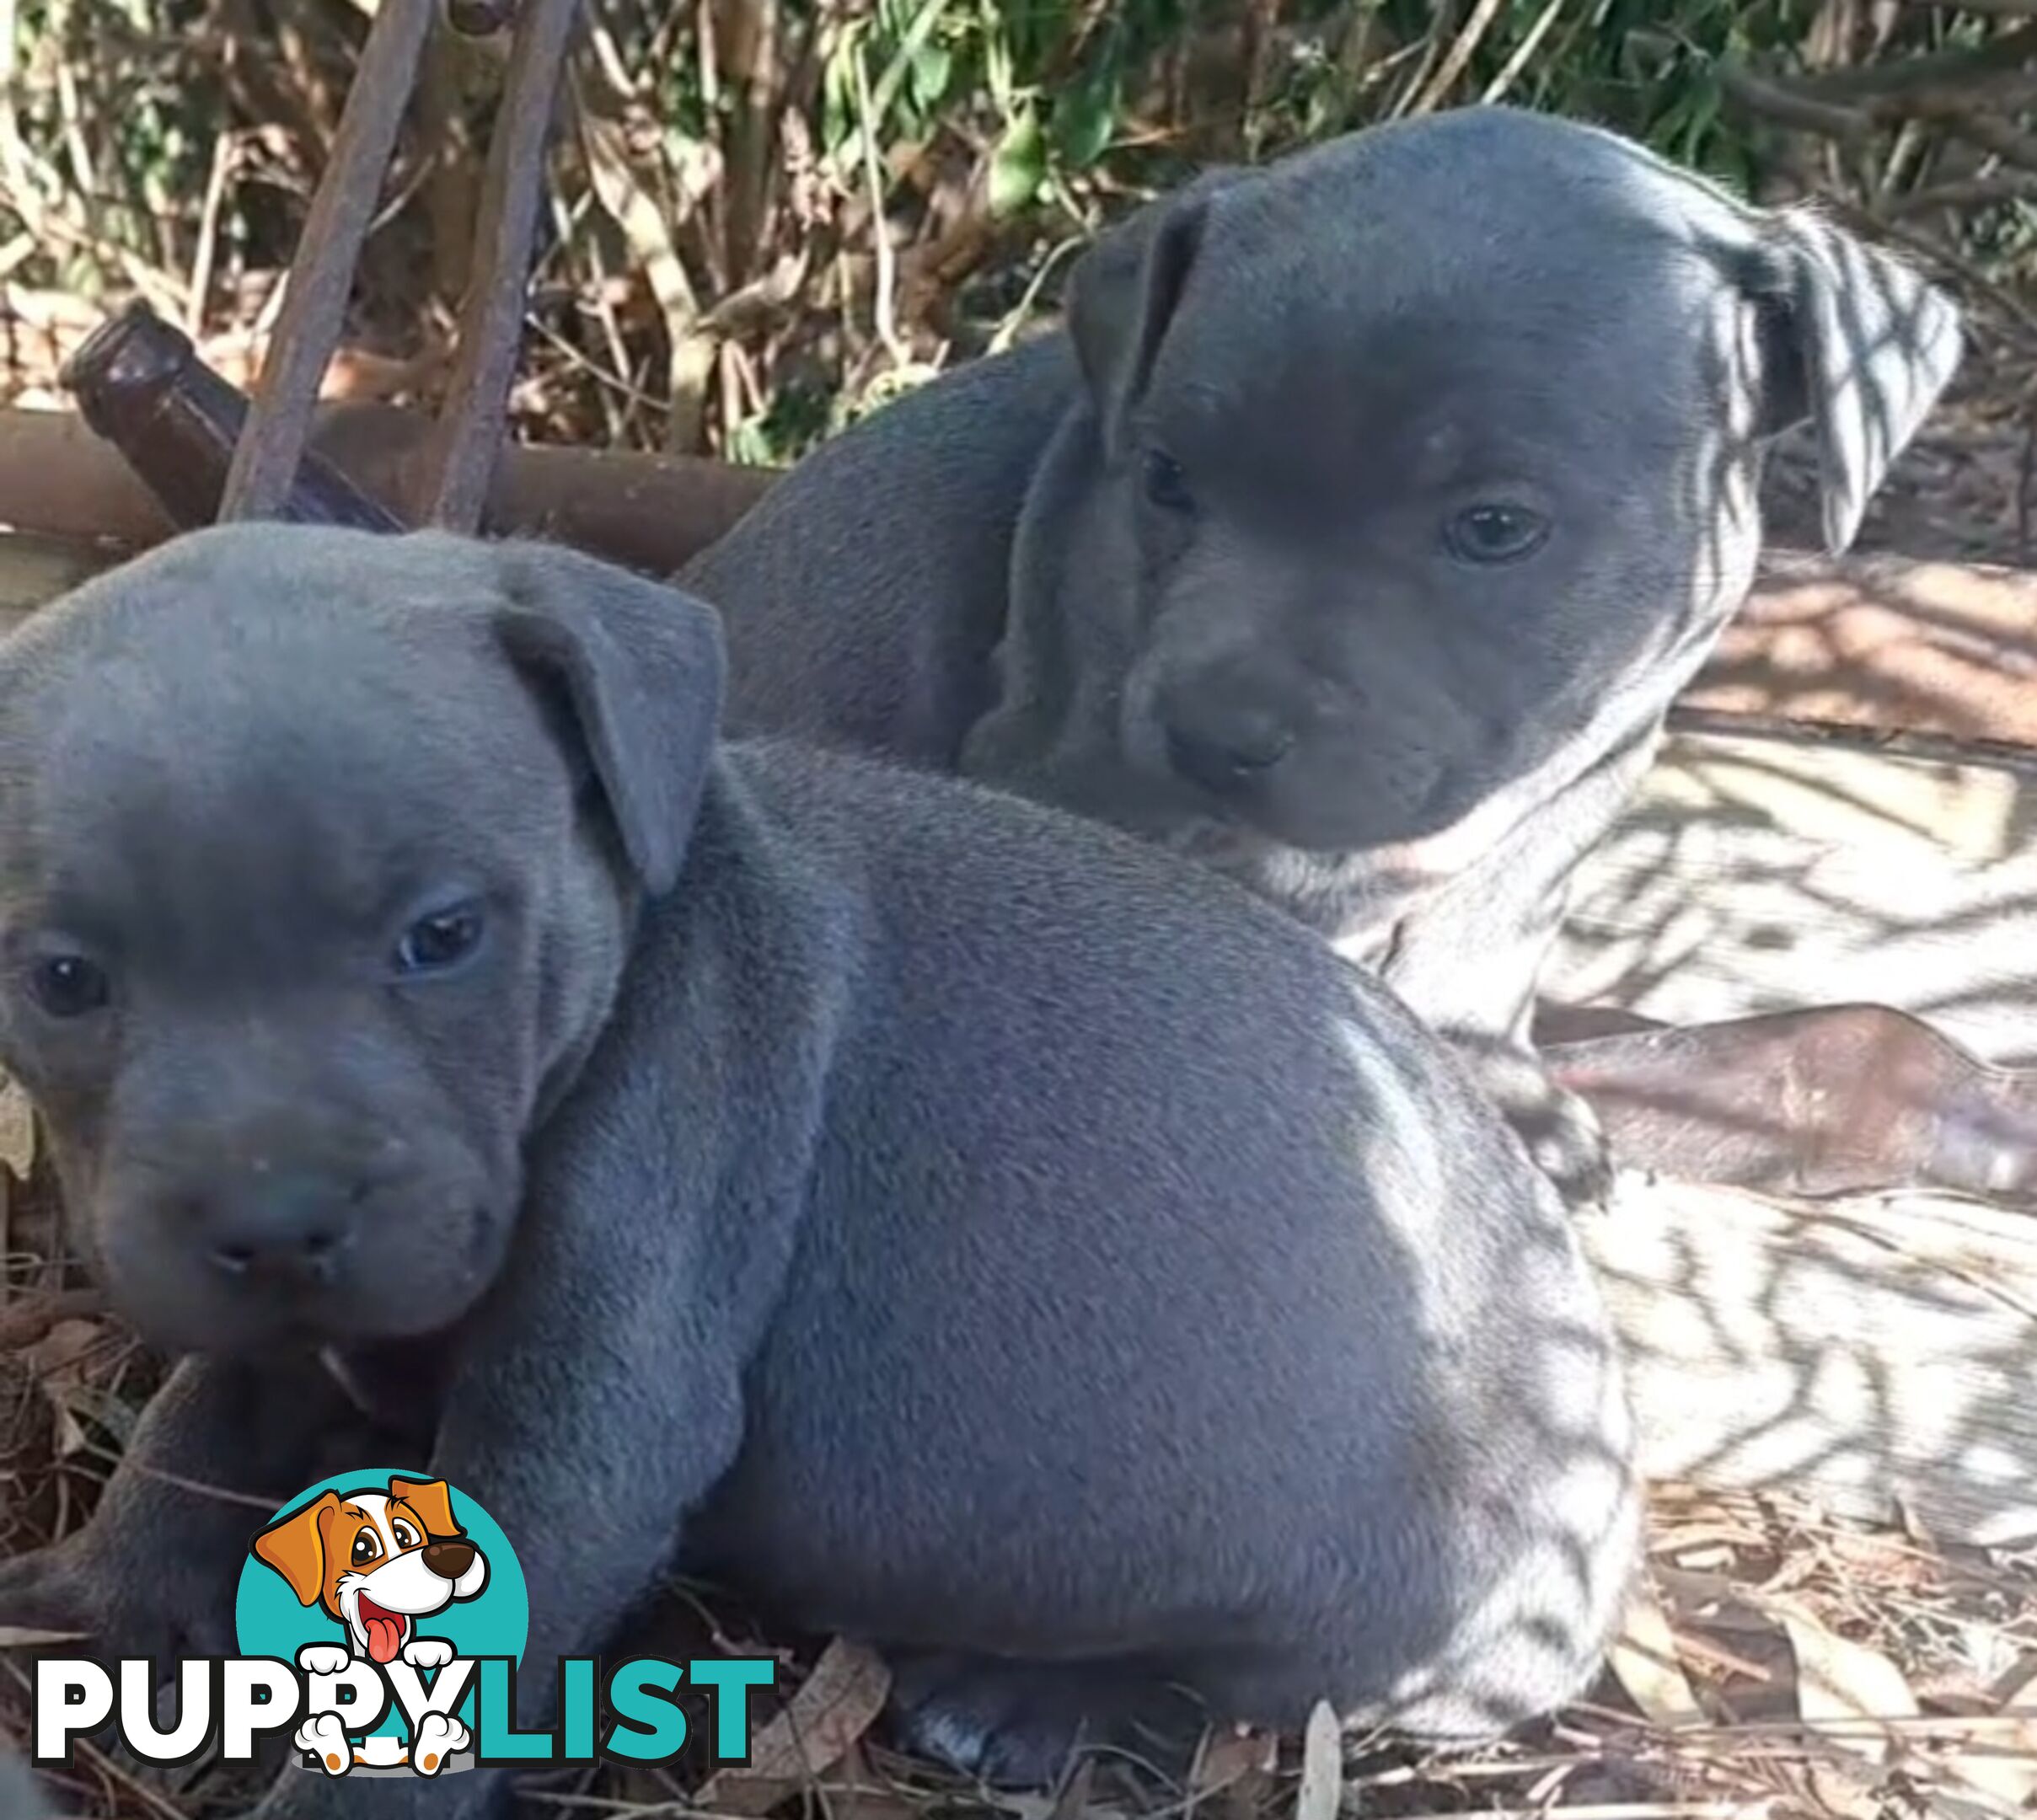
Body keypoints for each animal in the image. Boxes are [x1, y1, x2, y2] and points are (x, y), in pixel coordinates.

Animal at [0, 529, 1629, 1820]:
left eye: (444, 936)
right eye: (62, 979)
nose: (275, 1224)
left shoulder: (595, 1412)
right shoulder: (288, 1328)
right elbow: (197, 1427)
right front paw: (91, 1613)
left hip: (1408, 1617)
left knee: (1250, 1689)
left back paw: (1029, 1705)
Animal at [684, 110, 1955, 1123]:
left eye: (1495, 527)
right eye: (1165, 480)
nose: (1212, 736)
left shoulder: (1592, 767)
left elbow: (1495, 926)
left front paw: (1489, 1080)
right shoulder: (1064, 770)